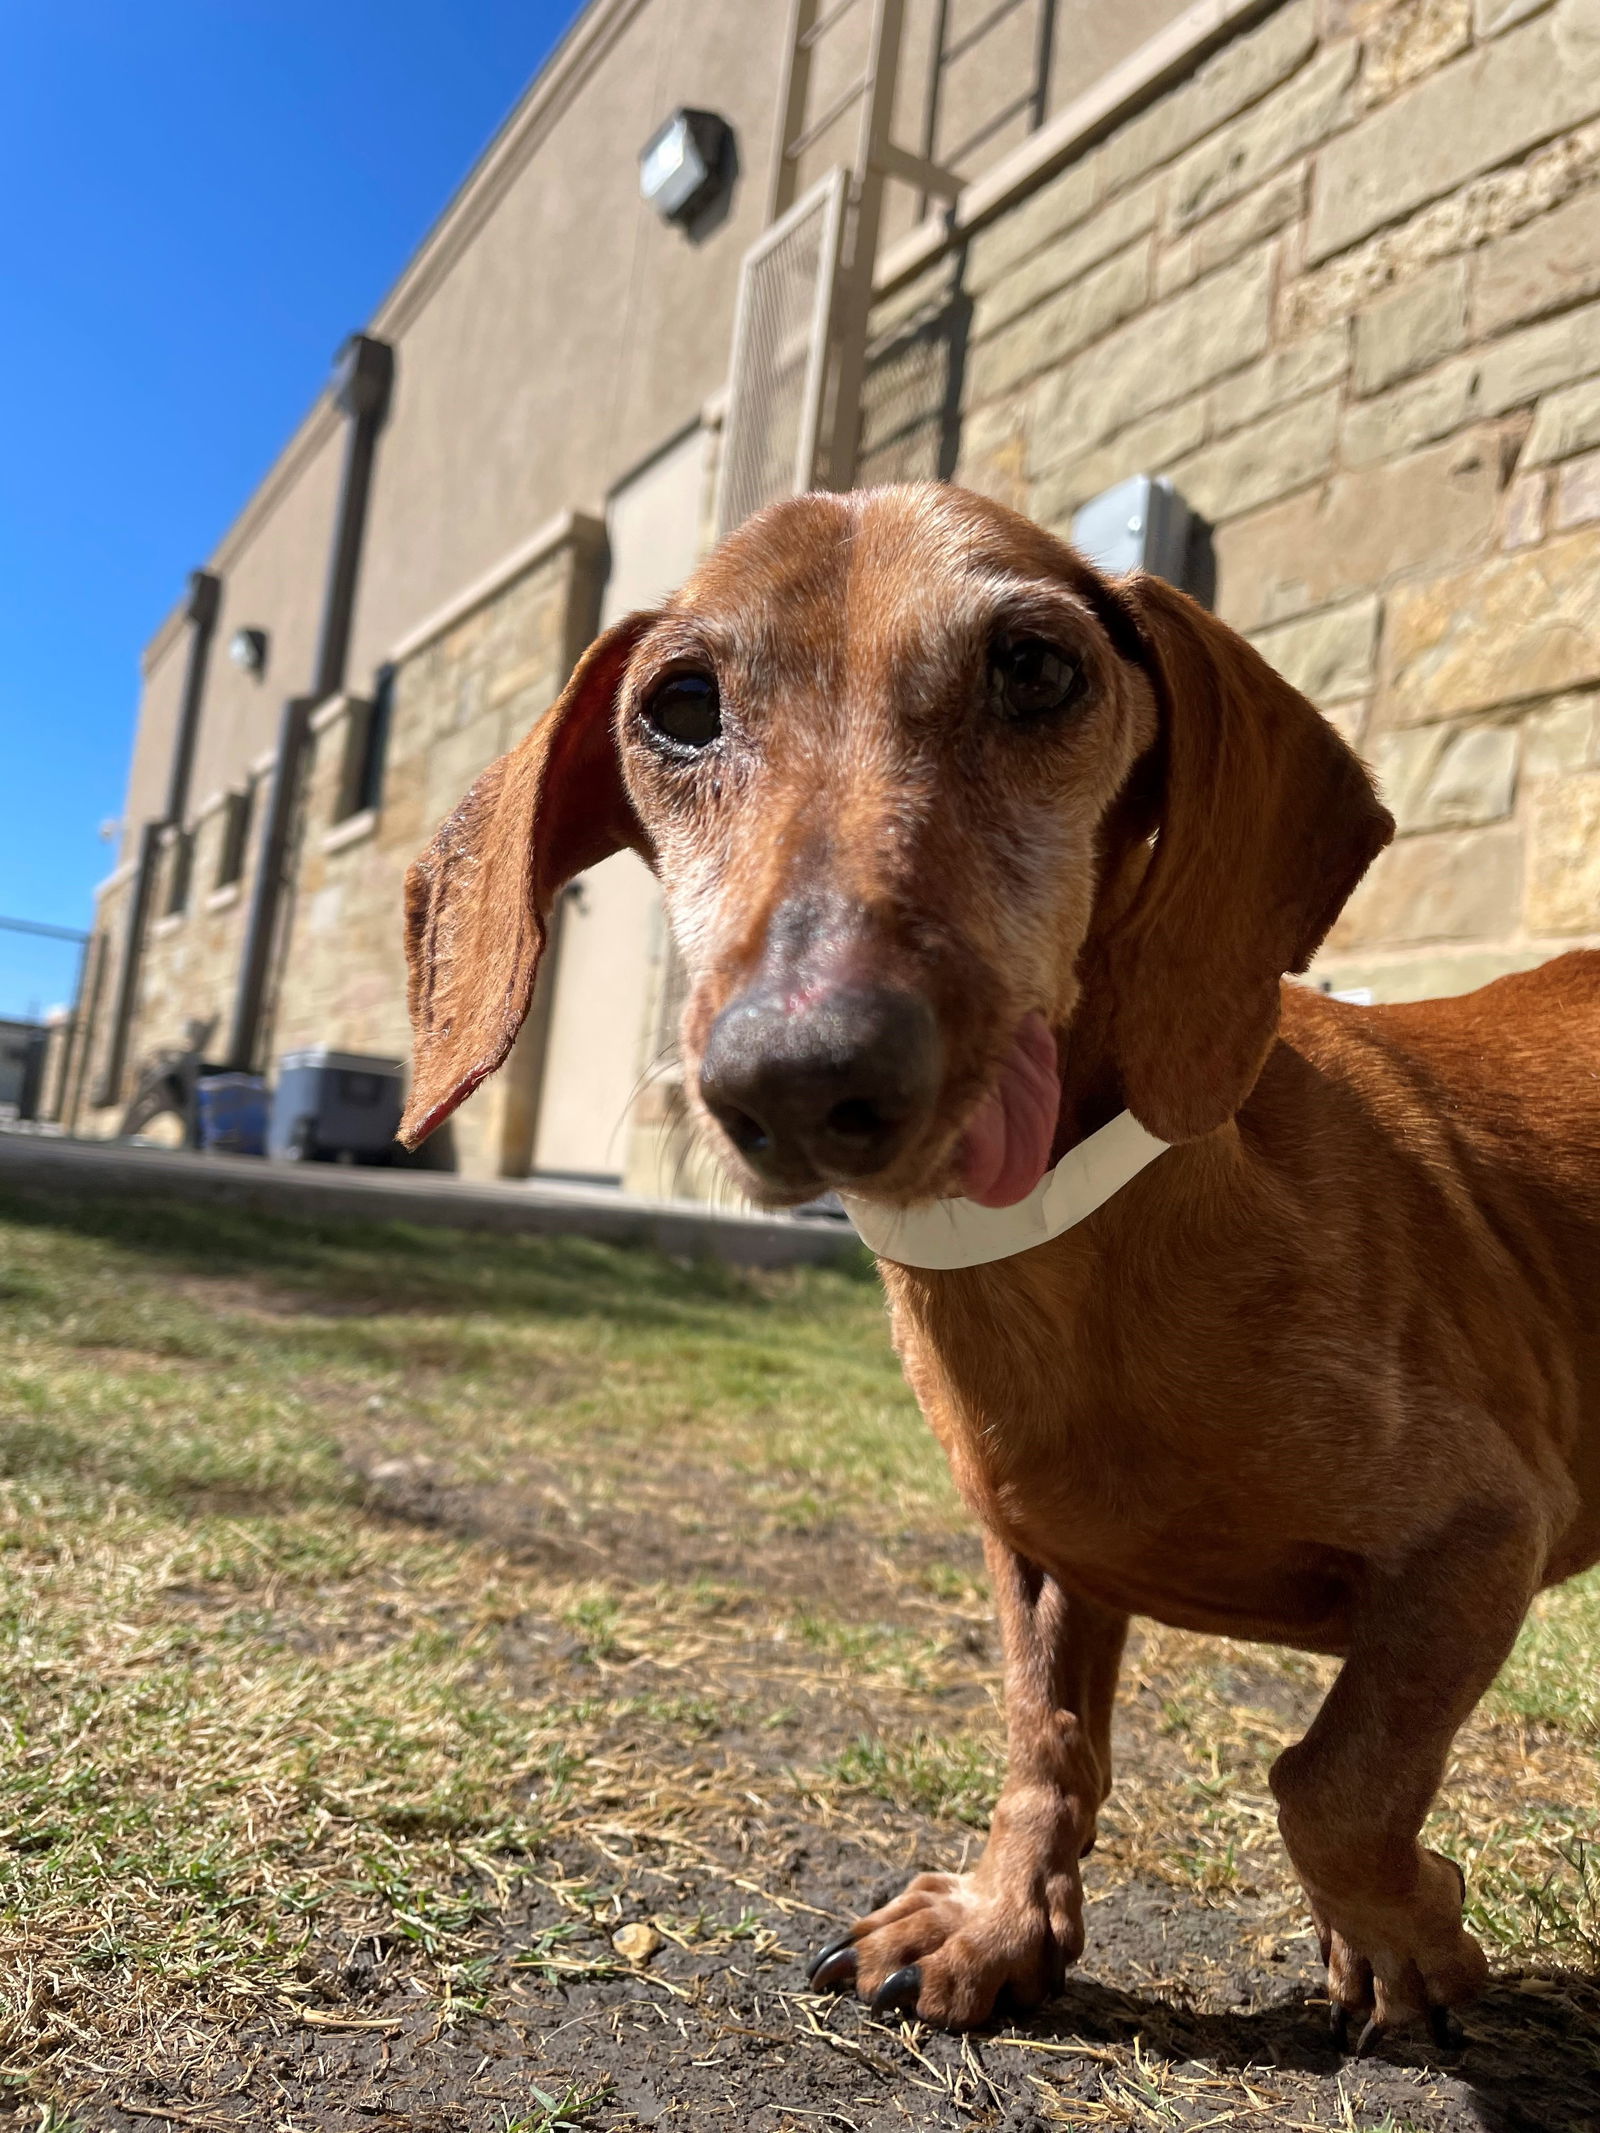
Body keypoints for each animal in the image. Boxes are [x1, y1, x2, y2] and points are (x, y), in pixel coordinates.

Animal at [398, 479, 1600, 2047]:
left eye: (1035, 667)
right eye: (680, 703)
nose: (801, 1072)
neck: (1077, 1252)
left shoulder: (1483, 1532)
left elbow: (1329, 1785)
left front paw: (1415, 1938)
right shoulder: (1037, 1557)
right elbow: (1049, 1744)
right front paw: (996, 1922)